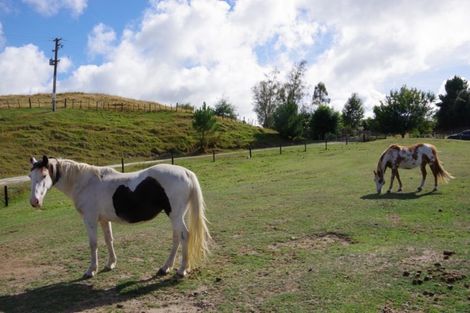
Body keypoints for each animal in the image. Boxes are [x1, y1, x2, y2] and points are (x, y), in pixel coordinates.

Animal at [28, 156, 210, 278]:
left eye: (44, 175)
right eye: (30, 177)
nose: (34, 201)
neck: (85, 183)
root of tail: (186, 172)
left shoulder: (90, 219)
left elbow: (93, 244)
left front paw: (91, 270)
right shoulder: (103, 220)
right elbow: (109, 240)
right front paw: (110, 264)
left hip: (175, 215)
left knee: (184, 236)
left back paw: (182, 270)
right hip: (175, 216)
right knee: (176, 238)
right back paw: (165, 268)